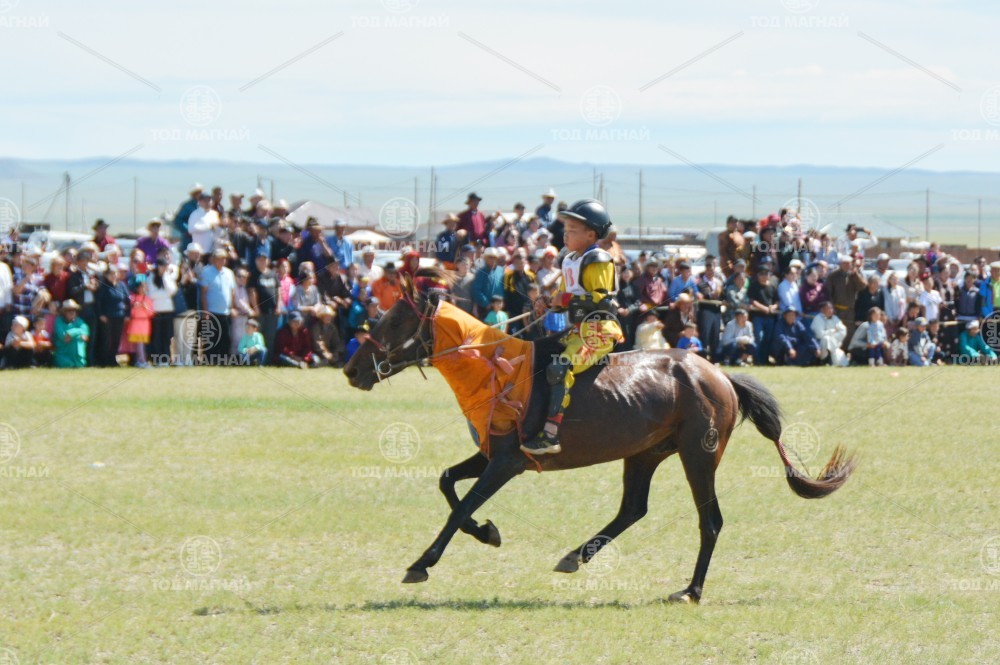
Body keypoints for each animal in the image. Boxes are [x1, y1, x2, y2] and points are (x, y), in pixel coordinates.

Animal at [343, 268, 856, 604]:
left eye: (395, 321)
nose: (351, 370)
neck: (495, 368)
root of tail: (720, 375)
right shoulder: (492, 454)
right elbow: (448, 483)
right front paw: (487, 533)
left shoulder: (508, 463)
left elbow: (461, 504)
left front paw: (422, 563)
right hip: (644, 454)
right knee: (633, 509)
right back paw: (576, 556)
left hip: (698, 456)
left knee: (709, 521)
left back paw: (690, 591)